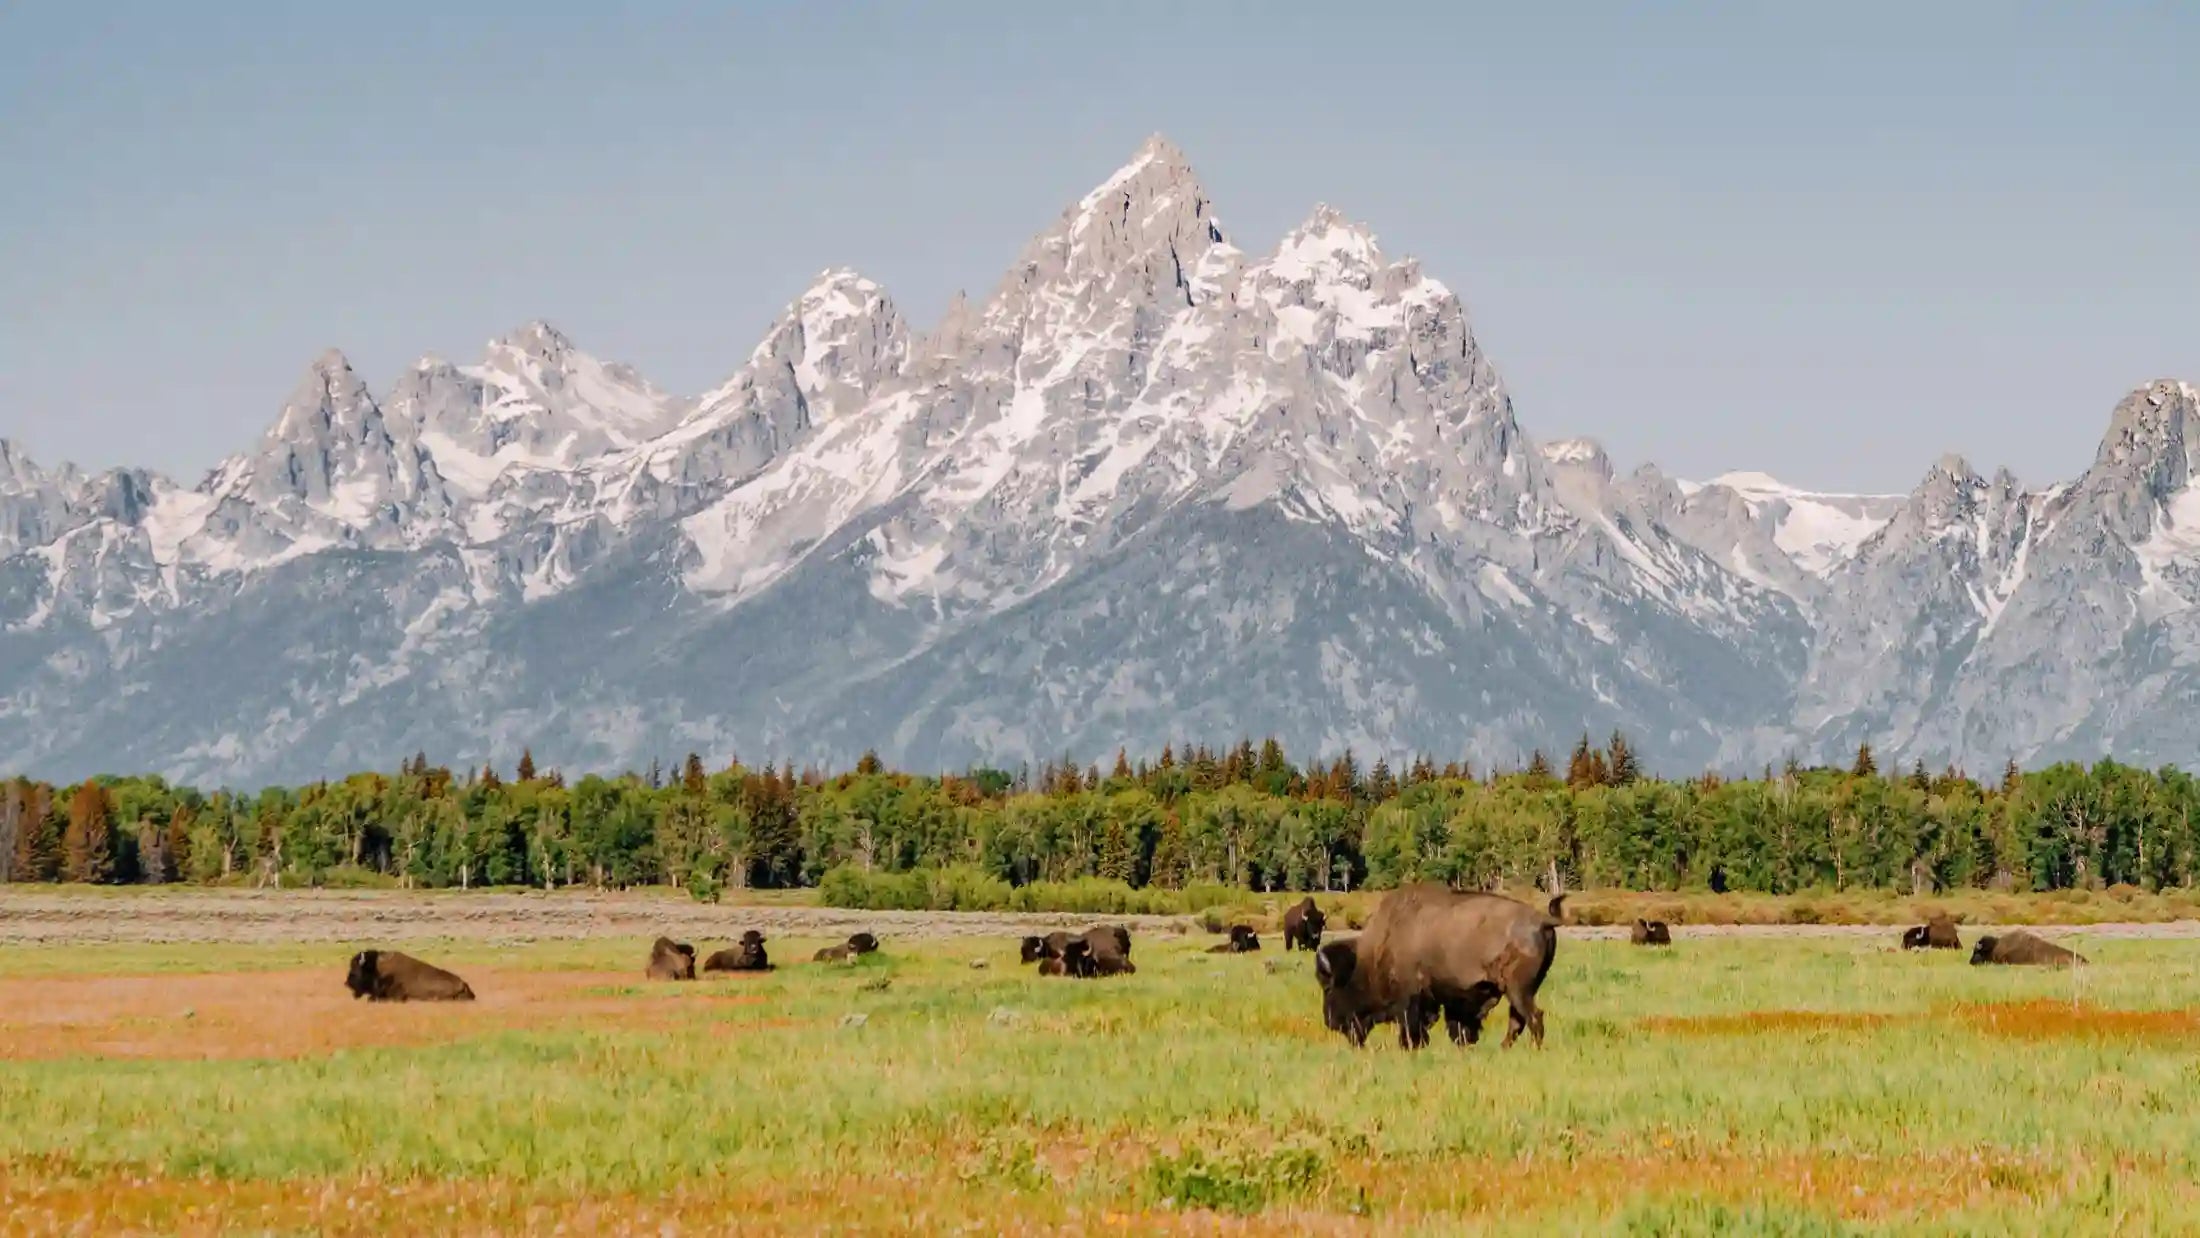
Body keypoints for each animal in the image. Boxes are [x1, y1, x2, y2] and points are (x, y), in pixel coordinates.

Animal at [1314, 885, 1564, 1050]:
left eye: (1329, 988)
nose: (1329, 1021)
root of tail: (1541, 919)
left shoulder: (1411, 999)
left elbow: (1412, 1026)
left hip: (1518, 989)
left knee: (1532, 1017)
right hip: (1519, 989)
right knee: (1518, 1019)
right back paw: (1504, 1048)